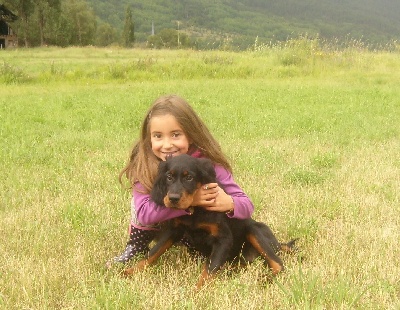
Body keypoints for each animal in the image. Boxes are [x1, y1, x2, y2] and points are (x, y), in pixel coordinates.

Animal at [125, 155, 296, 288]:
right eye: (169, 177)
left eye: (189, 177)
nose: (172, 199)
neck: (195, 210)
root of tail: (278, 243)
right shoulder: (174, 231)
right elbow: (153, 252)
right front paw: (130, 271)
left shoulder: (223, 239)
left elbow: (209, 269)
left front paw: (197, 291)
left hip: (255, 230)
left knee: (278, 264)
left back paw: (263, 279)